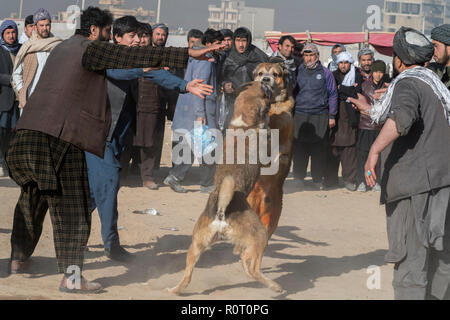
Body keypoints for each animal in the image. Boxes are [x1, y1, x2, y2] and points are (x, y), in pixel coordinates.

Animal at [167, 79, 284, 294]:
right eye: (264, 91)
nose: (266, 80)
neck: (243, 123)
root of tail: (221, 212)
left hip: (196, 245)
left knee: (188, 275)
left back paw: (175, 290)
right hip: (260, 235)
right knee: (251, 267)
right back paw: (274, 286)